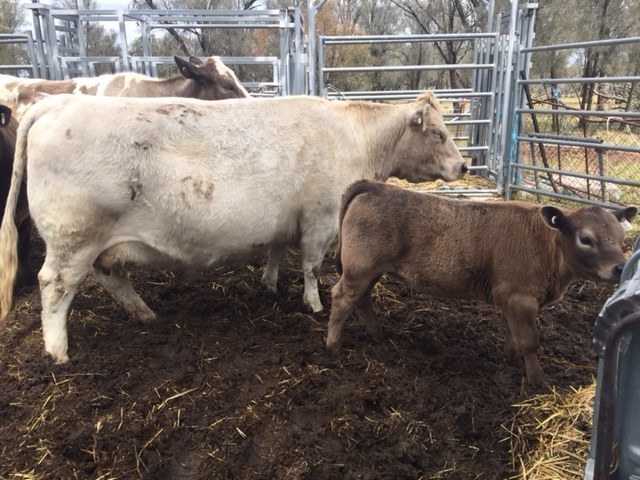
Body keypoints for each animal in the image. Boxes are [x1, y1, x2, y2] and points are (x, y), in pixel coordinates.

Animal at [0, 91, 466, 364]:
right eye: (439, 134)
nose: (464, 166)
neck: (356, 137)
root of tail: (54, 103)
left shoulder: (286, 220)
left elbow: (278, 250)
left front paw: (269, 284)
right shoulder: (319, 218)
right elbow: (312, 266)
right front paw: (313, 305)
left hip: (98, 244)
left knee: (110, 276)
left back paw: (145, 314)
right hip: (73, 237)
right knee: (54, 286)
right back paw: (58, 351)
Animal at [326, 180, 637, 386]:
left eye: (622, 238)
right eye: (586, 239)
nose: (620, 267)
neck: (546, 245)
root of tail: (374, 186)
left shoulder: (510, 299)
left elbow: (512, 333)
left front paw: (512, 358)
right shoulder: (521, 297)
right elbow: (530, 341)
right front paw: (538, 381)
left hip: (369, 270)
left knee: (361, 299)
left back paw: (378, 333)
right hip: (360, 268)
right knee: (341, 297)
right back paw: (334, 347)